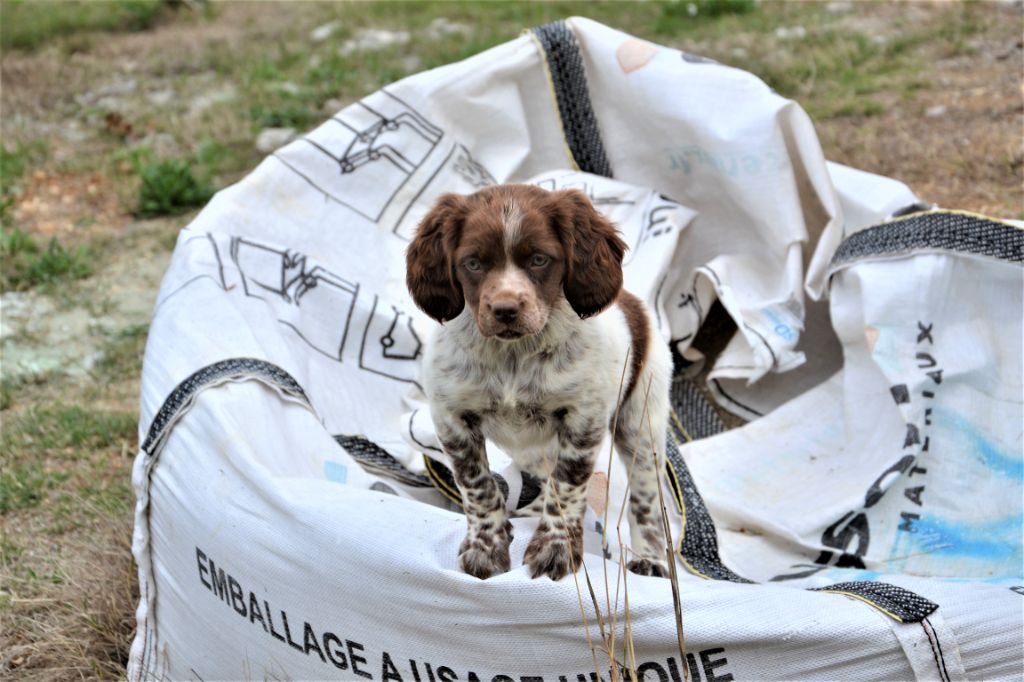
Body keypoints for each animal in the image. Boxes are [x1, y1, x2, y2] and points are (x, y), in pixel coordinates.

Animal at [403, 183, 675, 577]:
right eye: (473, 263)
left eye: (539, 260)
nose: (505, 310)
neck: (513, 354)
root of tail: (632, 302)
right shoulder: (451, 418)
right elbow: (477, 485)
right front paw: (487, 546)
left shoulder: (584, 419)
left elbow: (569, 484)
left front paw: (554, 549)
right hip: (534, 449)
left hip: (641, 422)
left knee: (646, 498)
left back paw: (650, 558)